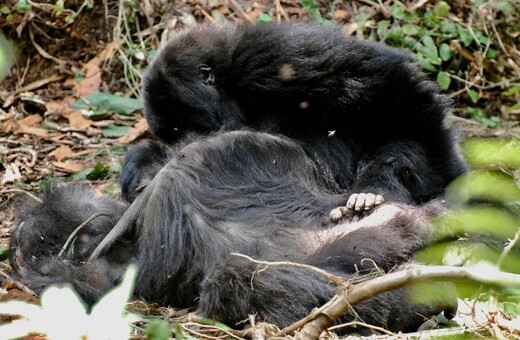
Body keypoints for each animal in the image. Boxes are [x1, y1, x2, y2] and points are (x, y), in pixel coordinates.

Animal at [8, 22, 466, 334]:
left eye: (188, 124)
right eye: (172, 131)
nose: (181, 142)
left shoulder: (269, 56)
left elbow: (390, 84)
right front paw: (143, 166)